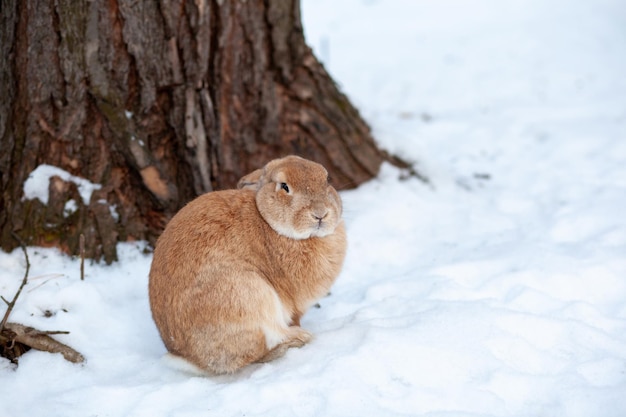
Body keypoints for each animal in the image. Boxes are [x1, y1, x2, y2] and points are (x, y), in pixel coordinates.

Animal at [149, 154, 348, 374]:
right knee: (259, 349)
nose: (320, 214)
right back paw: (298, 338)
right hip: (248, 294)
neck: (268, 221)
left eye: (327, 180)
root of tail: (188, 358)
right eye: (284, 186)